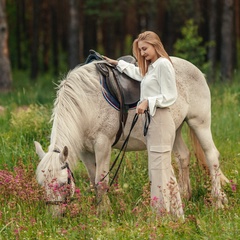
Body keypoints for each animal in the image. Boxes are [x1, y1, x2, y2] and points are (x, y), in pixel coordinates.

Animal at [34, 56, 229, 216]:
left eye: (62, 183)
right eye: (42, 184)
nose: (55, 216)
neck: (86, 104)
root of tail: (195, 70)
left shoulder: (102, 145)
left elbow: (101, 181)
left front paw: (105, 213)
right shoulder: (85, 151)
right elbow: (93, 180)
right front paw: (100, 211)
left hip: (199, 123)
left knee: (212, 156)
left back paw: (217, 202)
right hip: (174, 129)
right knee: (183, 156)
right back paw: (184, 196)